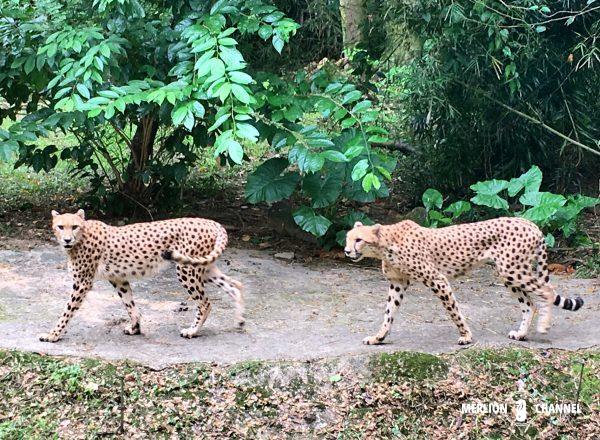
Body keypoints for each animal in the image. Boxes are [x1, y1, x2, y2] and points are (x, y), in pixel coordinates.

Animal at [39, 211, 244, 344]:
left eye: (74, 227)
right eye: (60, 226)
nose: (67, 239)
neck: (82, 236)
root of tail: (210, 221)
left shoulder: (82, 283)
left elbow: (66, 311)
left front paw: (53, 335)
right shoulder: (118, 278)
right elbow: (130, 305)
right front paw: (135, 328)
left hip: (186, 269)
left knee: (205, 303)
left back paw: (192, 331)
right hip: (202, 267)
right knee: (236, 285)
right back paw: (240, 320)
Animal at [344, 218, 584, 346]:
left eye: (359, 239)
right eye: (347, 238)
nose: (346, 251)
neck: (386, 244)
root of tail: (531, 223)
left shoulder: (437, 279)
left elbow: (453, 310)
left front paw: (466, 336)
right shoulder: (398, 283)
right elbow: (388, 314)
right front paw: (378, 337)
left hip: (513, 270)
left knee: (548, 290)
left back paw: (543, 326)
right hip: (509, 273)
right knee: (530, 303)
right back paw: (522, 333)